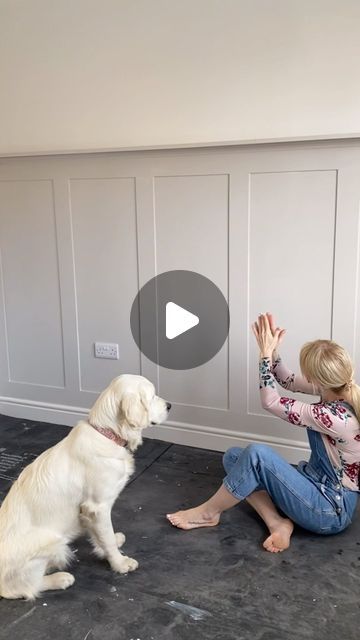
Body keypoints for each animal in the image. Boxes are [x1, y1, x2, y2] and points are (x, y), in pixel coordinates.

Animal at [0, 376, 171, 600]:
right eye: (151, 396)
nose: (169, 405)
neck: (108, 434)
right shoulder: (98, 506)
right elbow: (106, 538)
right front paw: (119, 563)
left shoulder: (88, 510)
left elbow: (102, 536)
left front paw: (110, 544)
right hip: (51, 542)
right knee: (20, 588)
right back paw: (60, 578)